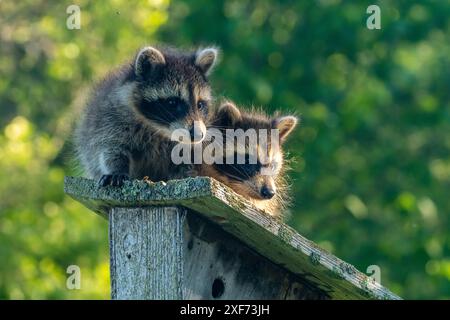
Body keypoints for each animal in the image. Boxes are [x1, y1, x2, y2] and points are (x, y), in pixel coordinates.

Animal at [75, 44, 218, 185]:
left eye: (200, 105)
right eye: (172, 102)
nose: (198, 134)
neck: (159, 130)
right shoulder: (110, 119)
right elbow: (112, 149)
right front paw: (117, 169)